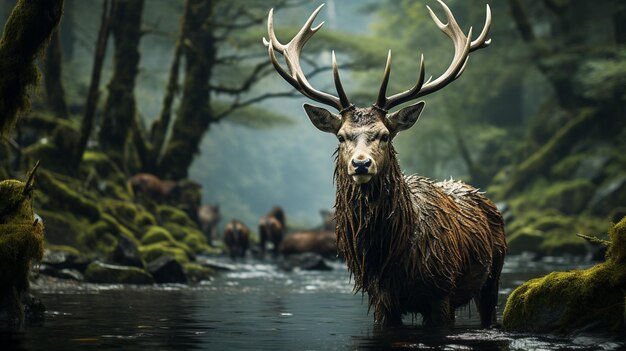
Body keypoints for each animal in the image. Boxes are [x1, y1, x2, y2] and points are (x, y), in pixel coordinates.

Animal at [260, 1, 504, 328]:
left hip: (493, 275)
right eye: (341, 136)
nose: (361, 164)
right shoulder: (381, 300)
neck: (390, 258)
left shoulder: (442, 293)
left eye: (385, 135)